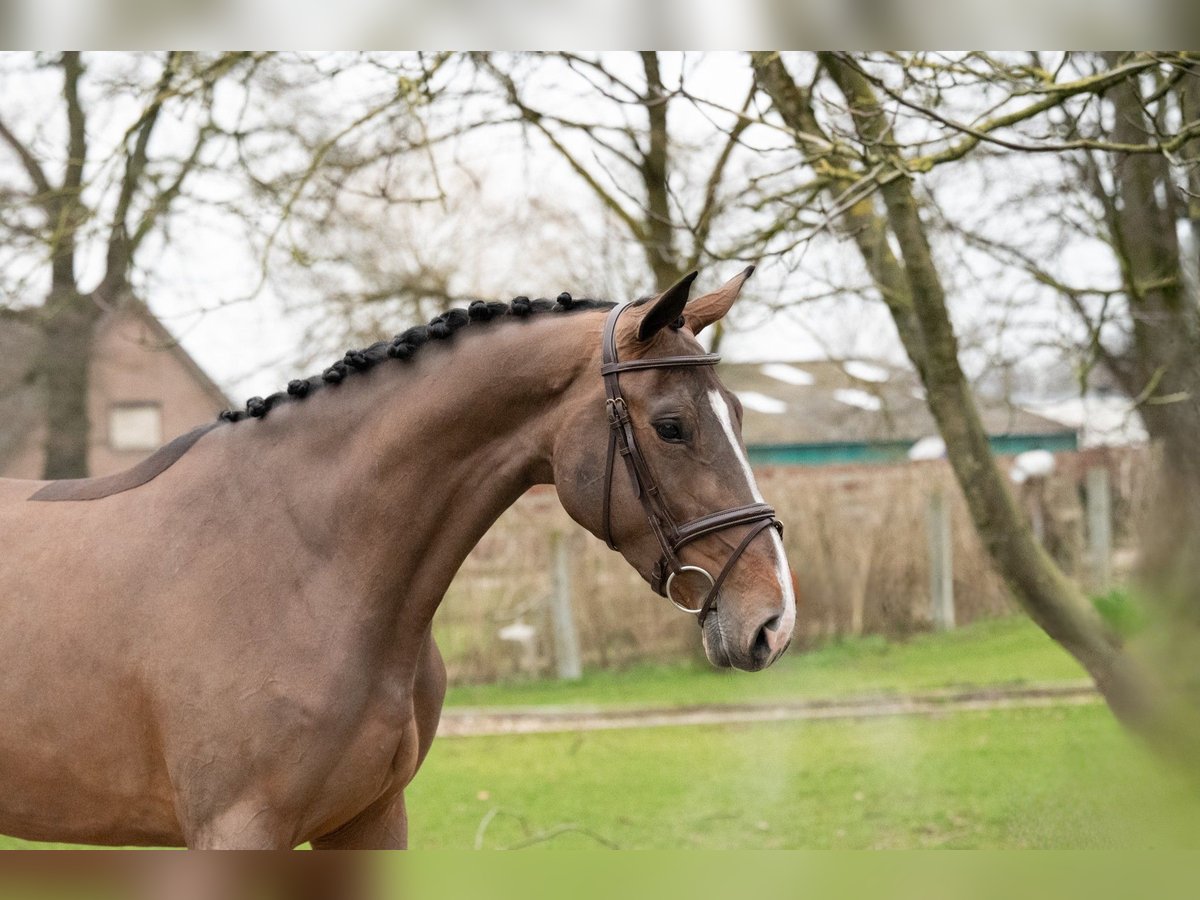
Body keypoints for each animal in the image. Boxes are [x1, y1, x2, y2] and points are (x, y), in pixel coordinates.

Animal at [0, 270, 796, 854]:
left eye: (737, 414)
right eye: (672, 426)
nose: (774, 621)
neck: (304, 563)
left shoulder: (371, 820)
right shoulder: (236, 832)